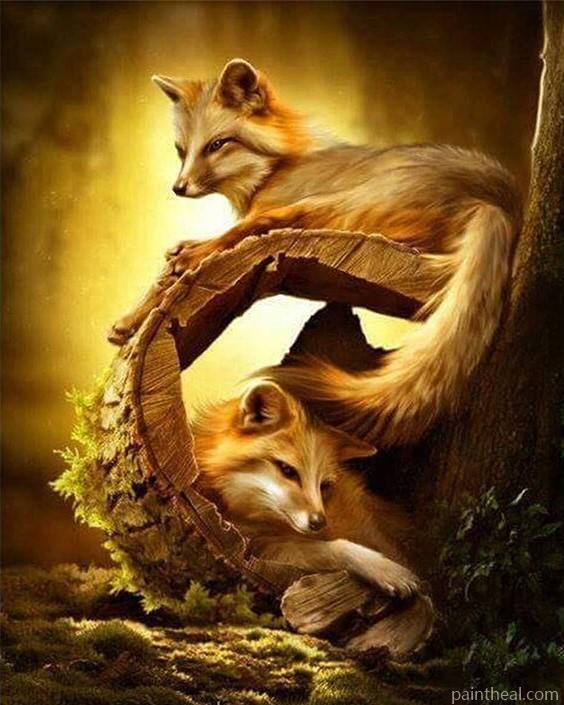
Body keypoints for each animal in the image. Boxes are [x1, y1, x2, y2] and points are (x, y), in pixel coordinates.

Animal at [110, 57, 522, 447]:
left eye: (216, 145)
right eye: (181, 150)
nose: (179, 188)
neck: (276, 169)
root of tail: (499, 202)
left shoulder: (267, 211)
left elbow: (209, 249)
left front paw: (152, 297)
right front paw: (130, 321)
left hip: (327, 207)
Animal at [192, 378, 435, 655]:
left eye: (324, 485)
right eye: (288, 470)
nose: (320, 523)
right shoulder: (252, 546)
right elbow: (335, 548)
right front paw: (383, 569)